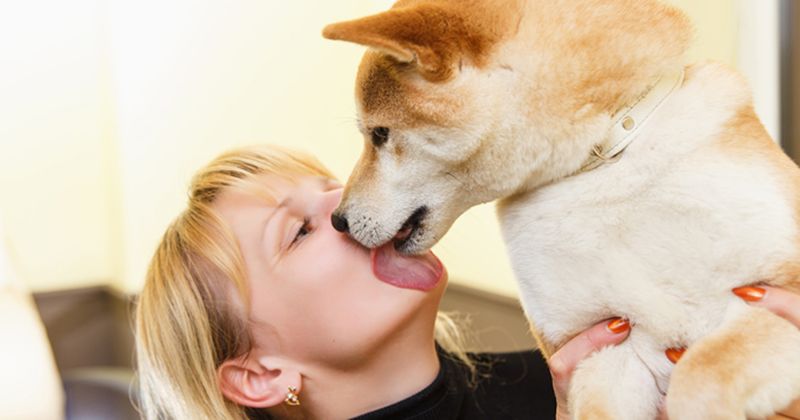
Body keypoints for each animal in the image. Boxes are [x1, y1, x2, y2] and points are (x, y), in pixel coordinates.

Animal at [322, 1, 800, 418]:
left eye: (379, 134)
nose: (338, 220)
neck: (602, 166)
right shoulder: (605, 352)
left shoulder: (776, 294)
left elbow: (701, 374)